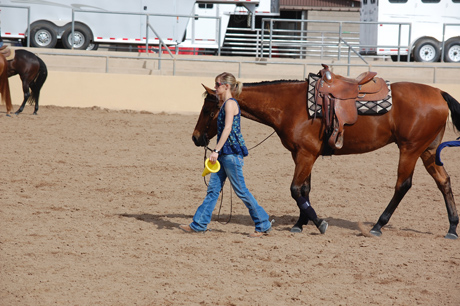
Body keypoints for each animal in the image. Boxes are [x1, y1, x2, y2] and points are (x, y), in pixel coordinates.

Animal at [191, 72, 460, 239]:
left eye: (208, 110)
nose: (195, 137)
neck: (292, 105)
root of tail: (439, 92)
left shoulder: (306, 154)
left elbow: (295, 189)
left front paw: (318, 223)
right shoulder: (302, 155)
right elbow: (304, 189)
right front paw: (300, 224)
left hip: (410, 149)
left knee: (403, 185)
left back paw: (377, 226)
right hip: (428, 151)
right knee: (444, 181)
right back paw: (452, 228)